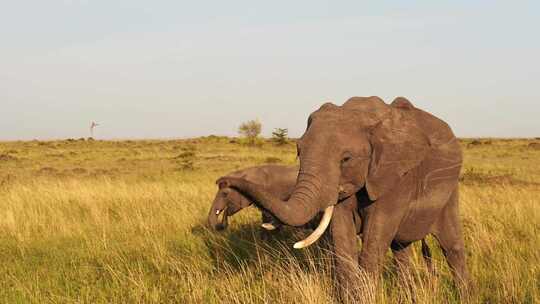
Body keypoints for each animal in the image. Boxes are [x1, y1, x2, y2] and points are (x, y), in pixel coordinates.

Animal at [219, 96, 468, 298]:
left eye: (346, 159)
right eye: (299, 151)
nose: (224, 181)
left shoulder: (397, 175)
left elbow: (374, 241)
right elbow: (342, 239)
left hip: (450, 188)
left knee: (451, 247)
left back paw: (464, 295)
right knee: (401, 250)